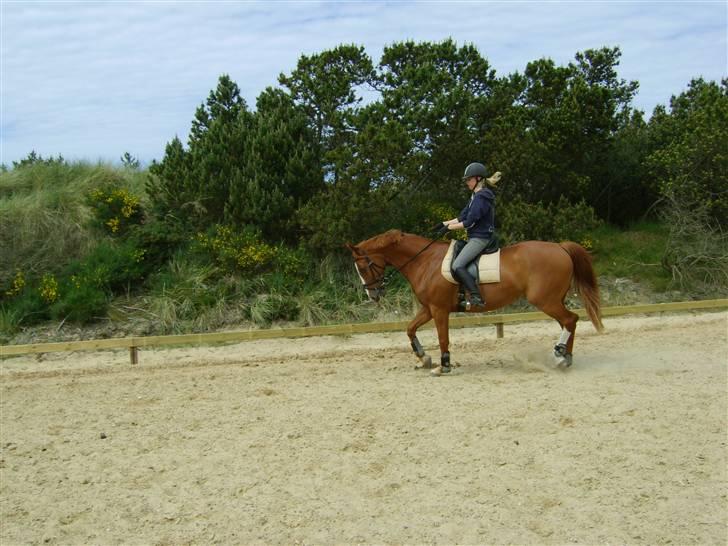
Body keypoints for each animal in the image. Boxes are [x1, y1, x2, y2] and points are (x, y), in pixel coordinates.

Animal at [346, 230, 604, 374]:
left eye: (362, 267)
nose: (373, 296)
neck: (425, 261)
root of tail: (560, 247)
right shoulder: (428, 308)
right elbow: (410, 329)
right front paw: (423, 358)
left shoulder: (439, 310)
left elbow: (443, 338)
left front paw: (444, 365)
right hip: (554, 300)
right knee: (569, 322)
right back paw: (564, 357)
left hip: (546, 300)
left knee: (570, 320)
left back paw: (560, 357)